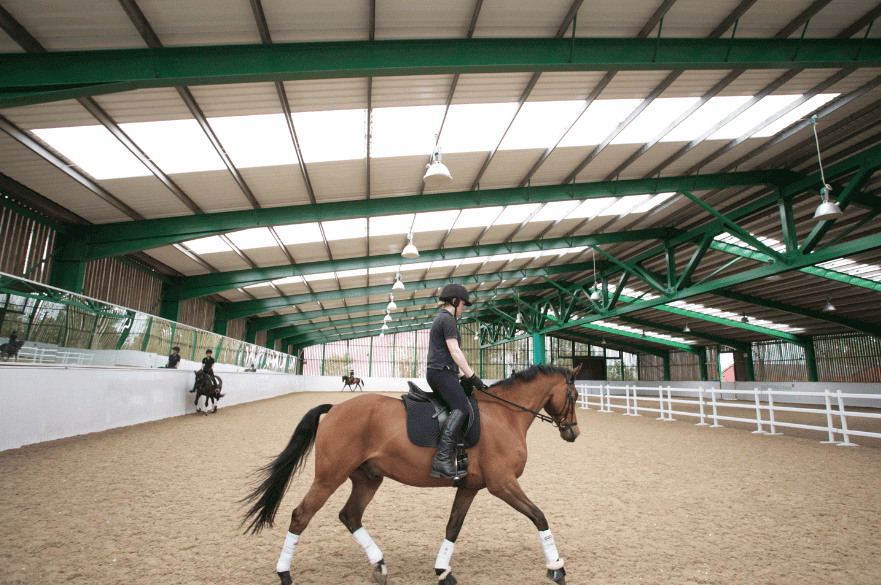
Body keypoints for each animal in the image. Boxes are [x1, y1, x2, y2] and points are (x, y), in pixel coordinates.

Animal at [244, 364, 580, 584]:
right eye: (575, 395)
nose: (573, 433)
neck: (505, 415)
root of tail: (336, 408)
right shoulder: (503, 484)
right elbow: (539, 517)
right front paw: (556, 567)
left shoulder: (470, 486)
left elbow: (452, 527)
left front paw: (443, 571)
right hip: (329, 478)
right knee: (301, 515)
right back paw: (285, 573)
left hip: (368, 478)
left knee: (350, 515)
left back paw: (379, 565)